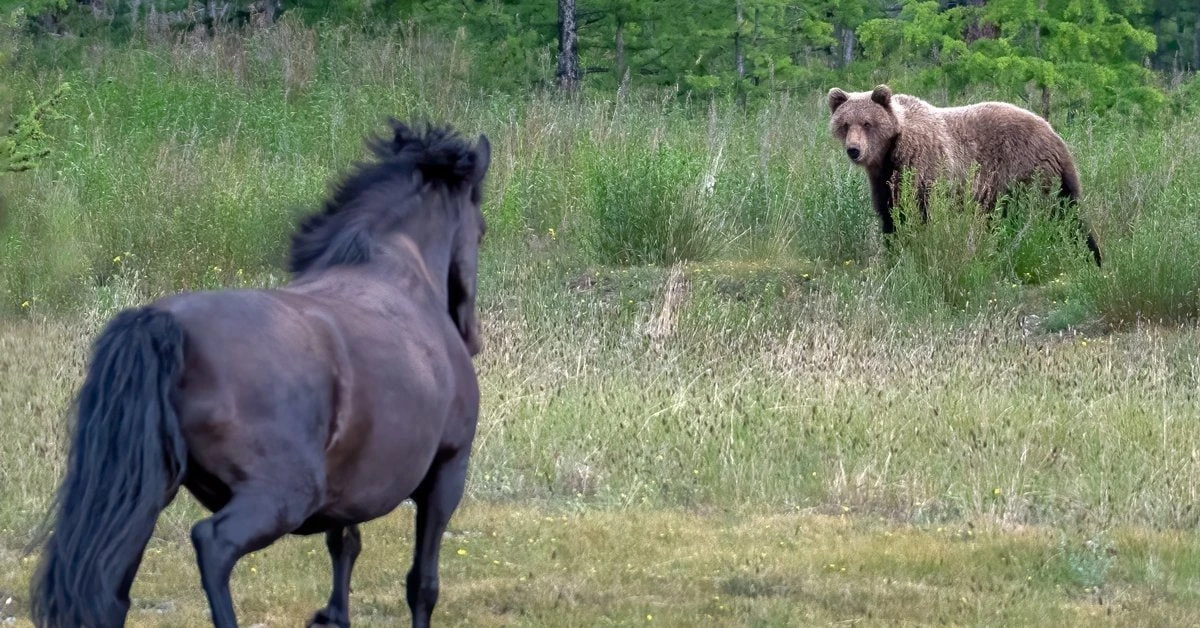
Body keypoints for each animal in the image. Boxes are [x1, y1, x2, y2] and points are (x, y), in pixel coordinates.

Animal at [29, 120, 491, 628]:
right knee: (212, 544)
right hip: (281, 495)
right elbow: (422, 584)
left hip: (141, 495)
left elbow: (344, 546)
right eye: (481, 230)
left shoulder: (352, 485)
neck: (394, 268)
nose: (471, 335)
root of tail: (161, 323)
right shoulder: (447, 472)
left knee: (108, 588)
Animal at [827, 84, 1102, 267]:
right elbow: (891, 213)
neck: (890, 151)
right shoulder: (884, 179)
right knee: (1067, 210)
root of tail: (1053, 133)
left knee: (1046, 213)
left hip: (1024, 171)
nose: (854, 150)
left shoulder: (922, 165)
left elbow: (920, 212)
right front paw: (894, 251)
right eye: (845, 124)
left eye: (867, 123)